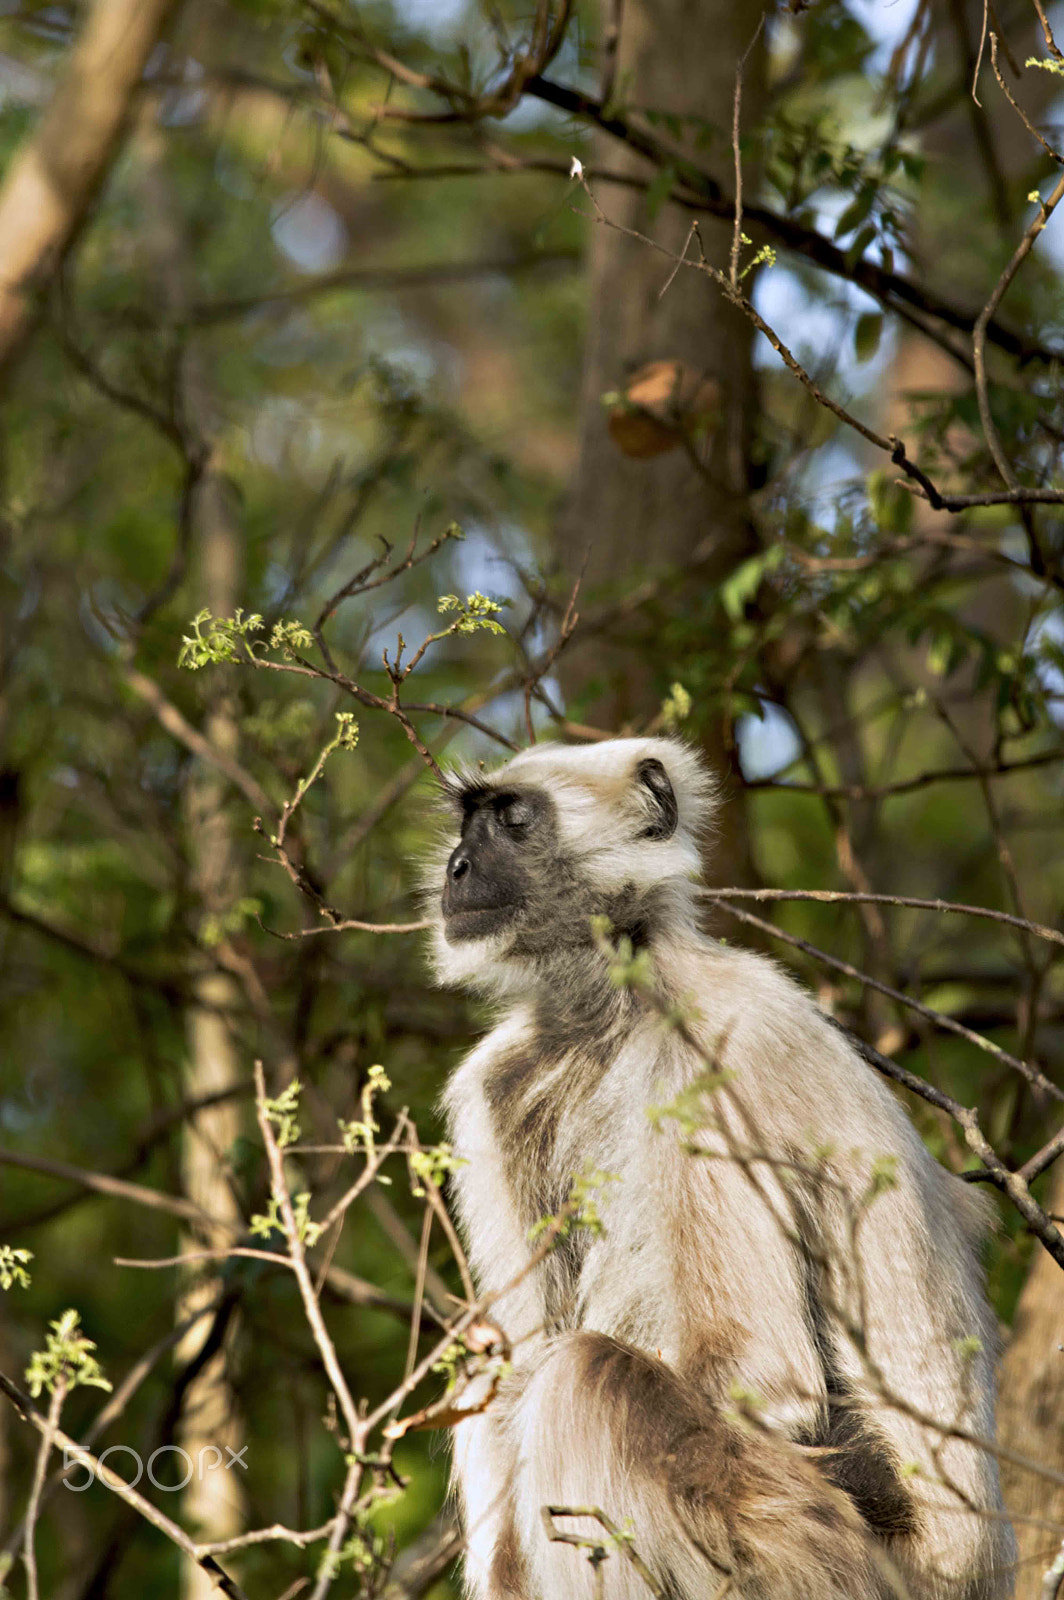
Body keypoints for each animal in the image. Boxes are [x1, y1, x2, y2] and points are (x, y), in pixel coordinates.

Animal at [428, 736, 1011, 1600]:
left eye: (511, 819)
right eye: (468, 821)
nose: (458, 866)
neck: (607, 1010)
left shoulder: (710, 1051)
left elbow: (761, 1374)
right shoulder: (497, 1081)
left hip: (810, 1546)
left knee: (588, 1376)